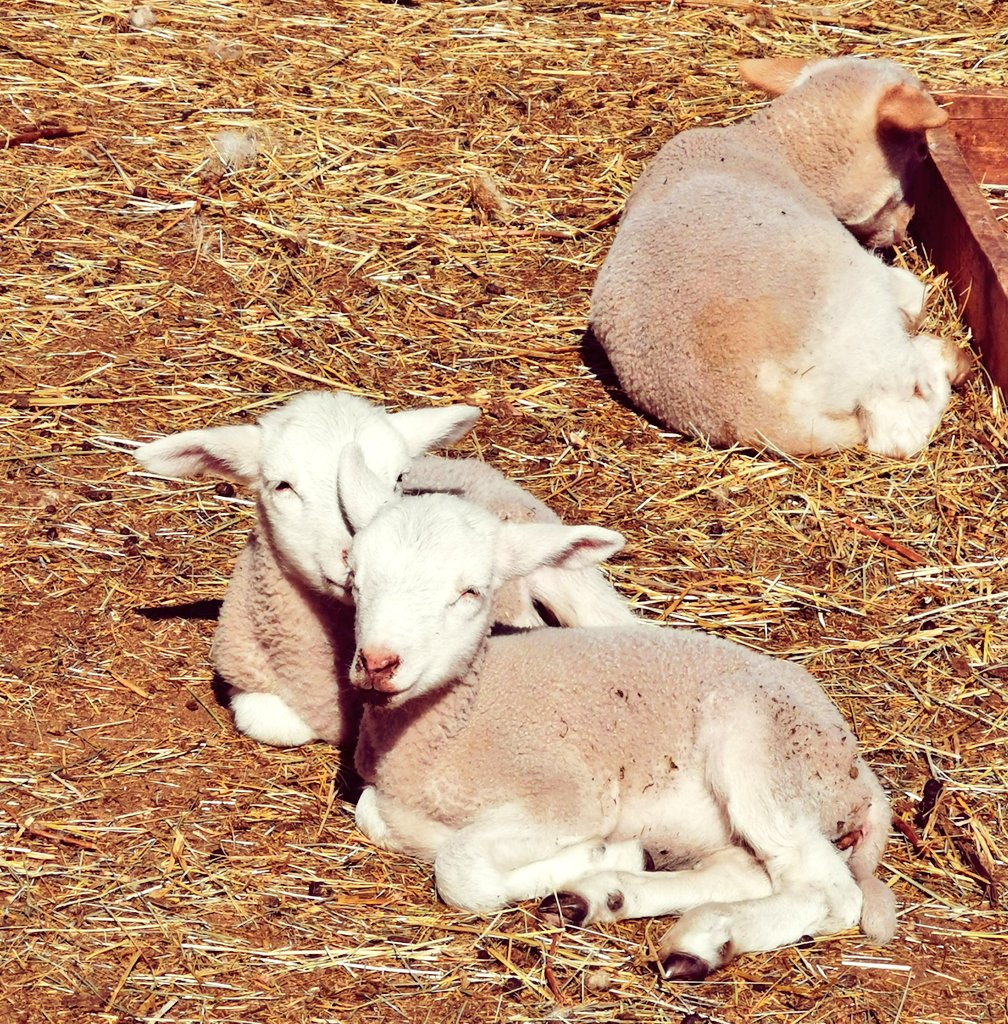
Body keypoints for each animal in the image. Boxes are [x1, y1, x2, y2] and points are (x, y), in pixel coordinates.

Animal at [339, 443, 897, 979]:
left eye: (470, 591)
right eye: (355, 578)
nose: (377, 663)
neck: (460, 723)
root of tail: (860, 773)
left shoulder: (570, 794)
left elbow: (462, 870)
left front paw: (594, 853)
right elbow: (375, 814)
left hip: (766, 759)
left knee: (828, 894)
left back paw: (704, 933)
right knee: (743, 872)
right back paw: (617, 903)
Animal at [590, 55, 973, 458]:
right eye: (920, 151)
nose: (902, 231)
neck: (778, 149)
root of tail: (757, 411)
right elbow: (915, 296)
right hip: (861, 326)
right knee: (899, 424)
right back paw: (951, 359)